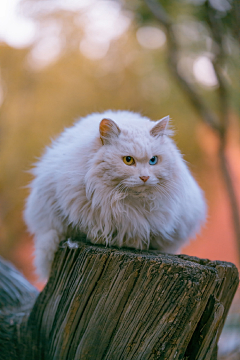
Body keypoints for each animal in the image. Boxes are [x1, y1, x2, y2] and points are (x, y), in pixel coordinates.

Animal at [25, 109, 207, 278]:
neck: (128, 202)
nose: (145, 177)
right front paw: (103, 239)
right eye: (128, 160)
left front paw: (133, 243)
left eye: (153, 160)